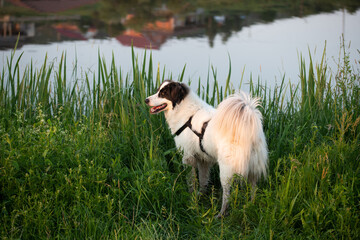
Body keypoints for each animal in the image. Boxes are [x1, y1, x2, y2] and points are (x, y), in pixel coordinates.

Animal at [144, 79, 268, 217]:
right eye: (157, 91)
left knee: (227, 195)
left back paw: (221, 214)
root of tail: (250, 131)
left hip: (226, 170)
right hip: (252, 168)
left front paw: (192, 198)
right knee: (253, 188)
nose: (146, 100)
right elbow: (203, 180)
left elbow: (191, 181)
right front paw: (200, 196)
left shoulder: (188, 157)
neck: (186, 113)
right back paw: (251, 205)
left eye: (163, 93)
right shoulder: (203, 160)